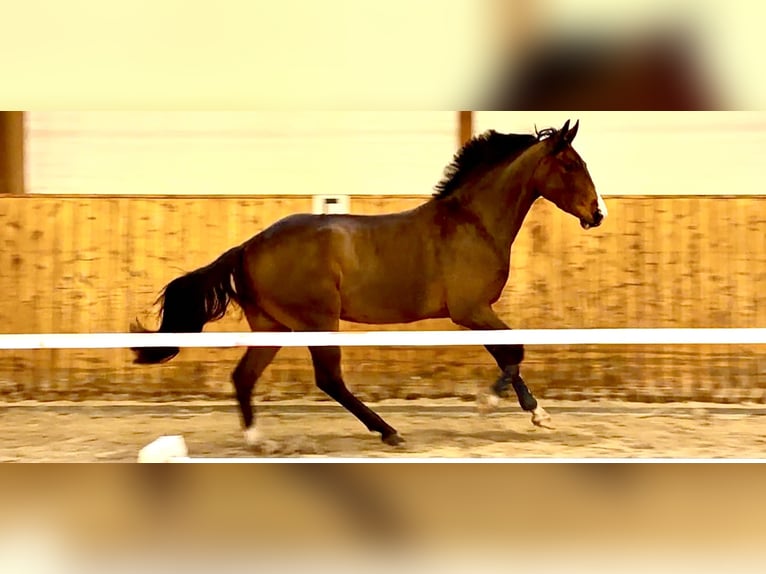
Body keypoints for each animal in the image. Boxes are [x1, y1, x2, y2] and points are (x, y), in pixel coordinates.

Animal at [131, 119, 607, 448]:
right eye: (570, 164)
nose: (597, 213)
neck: (473, 222)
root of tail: (247, 247)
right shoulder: (470, 310)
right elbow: (515, 351)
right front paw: (490, 403)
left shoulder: (476, 313)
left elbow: (508, 353)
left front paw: (539, 414)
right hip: (317, 321)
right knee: (328, 379)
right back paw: (389, 432)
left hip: (273, 326)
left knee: (244, 377)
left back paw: (258, 441)